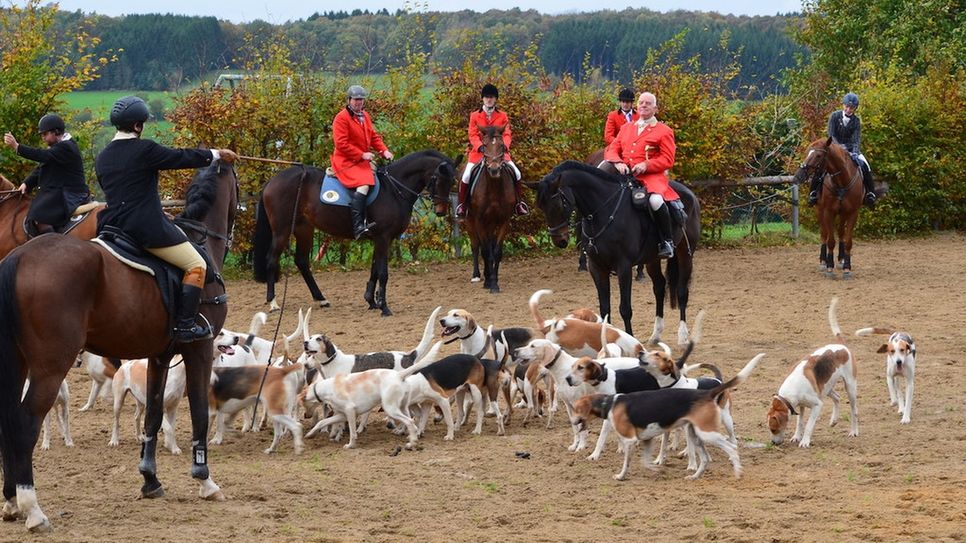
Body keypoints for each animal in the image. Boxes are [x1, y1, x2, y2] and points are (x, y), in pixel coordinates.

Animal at [0, 160, 238, 532]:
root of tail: (19, 257)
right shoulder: (199, 348)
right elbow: (199, 412)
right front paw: (205, 480)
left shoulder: (160, 355)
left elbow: (153, 416)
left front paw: (150, 480)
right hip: (50, 366)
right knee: (26, 423)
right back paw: (33, 510)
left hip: (17, 361)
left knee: (8, 421)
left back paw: (11, 502)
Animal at [253, 151, 458, 316]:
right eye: (437, 178)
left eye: (452, 180)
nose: (441, 211)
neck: (393, 189)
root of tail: (272, 181)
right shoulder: (383, 238)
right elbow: (383, 273)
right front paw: (384, 307)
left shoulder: (382, 239)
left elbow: (375, 269)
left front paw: (372, 300)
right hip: (282, 230)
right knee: (272, 259)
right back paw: (273, 302)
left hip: (304, 229)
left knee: (302, 261)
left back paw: (321, 298)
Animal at [466, 124, 520, 294]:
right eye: (484, 146)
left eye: (502, 145)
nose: (494, 170)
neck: (494, 187)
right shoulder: (479, 220)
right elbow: (485, 251)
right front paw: (489, 282)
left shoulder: (504, 220)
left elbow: (496, 252)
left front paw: (494, 283)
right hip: (469, 221)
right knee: (476, 246)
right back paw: (477, 276)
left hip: (490, 222)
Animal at [528, 159, 704, 344]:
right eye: (541, 206)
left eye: (558, 204)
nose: (559, 241)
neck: (603, 212)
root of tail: (689, 193)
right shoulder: (596, 267)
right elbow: (605, 308)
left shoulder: (624, 267)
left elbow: (625, 308)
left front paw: (629, 337)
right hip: (652, 259)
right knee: (659, 287)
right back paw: (656, 334)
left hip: (685, 254)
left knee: (682, 292)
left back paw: (683, 336)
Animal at [796, 138, 864, 278]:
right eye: (807, 153)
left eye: (818, 155)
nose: (798, 175)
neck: (842, 182)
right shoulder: (828, 212)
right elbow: (830, 241)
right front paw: (829, 267)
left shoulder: (852, 213)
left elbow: (848, 241)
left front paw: (847, 268)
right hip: (820, 211)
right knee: (824, 235)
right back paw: (823, 261)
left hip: (842, 214)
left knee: (841, 233)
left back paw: (841, 259)